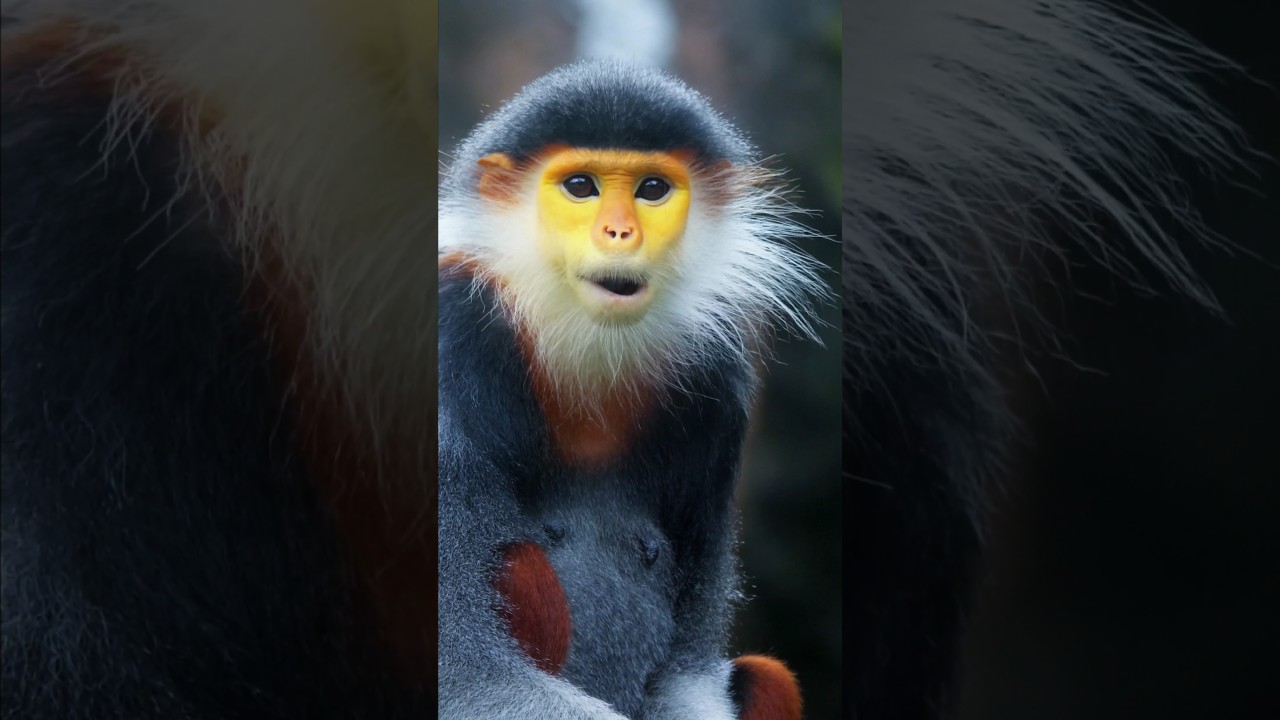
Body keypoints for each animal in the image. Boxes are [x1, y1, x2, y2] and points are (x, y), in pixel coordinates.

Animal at [436, 61, 826, 720]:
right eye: (580, 186)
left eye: (651, 190)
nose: (619, 232)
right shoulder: (454, 337)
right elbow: (463, 672)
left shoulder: (716, 383)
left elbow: (686, 674)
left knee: (766, 674)